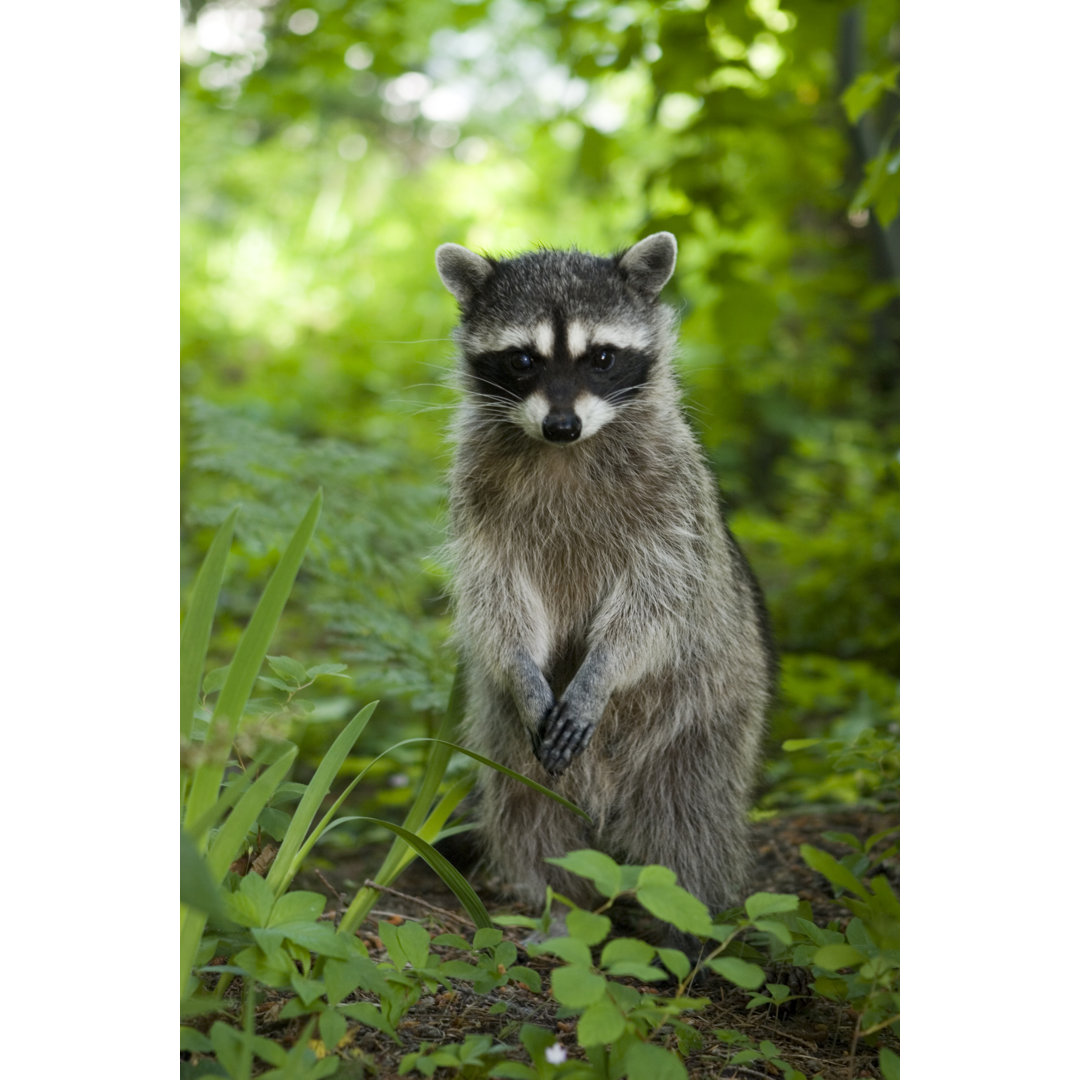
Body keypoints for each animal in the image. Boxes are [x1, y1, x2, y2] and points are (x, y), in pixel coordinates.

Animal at [434, 234, 773, 920]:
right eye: (523, 360)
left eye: (602, 357)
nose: (562, 426)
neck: (564, 452)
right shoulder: (478, 507)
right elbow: (495, 597)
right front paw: (522, 667)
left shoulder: (674, 502)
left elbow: (658, 596)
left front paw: (602, 671)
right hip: (502, 735)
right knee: (525, 809)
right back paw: (549, 900)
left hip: (712, 705)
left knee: (690, 819)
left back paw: (688, 919)